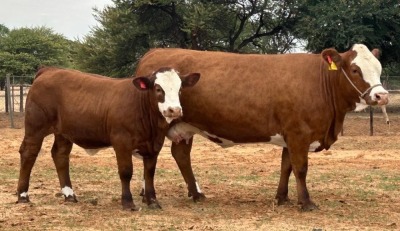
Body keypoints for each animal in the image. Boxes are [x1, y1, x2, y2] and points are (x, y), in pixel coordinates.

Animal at [15, 66, 200, 210]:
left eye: (180, 89)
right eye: (158, 89)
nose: (174, 110)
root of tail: (49, 70)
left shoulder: (154, 145)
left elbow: (150, 173)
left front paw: (152, 201)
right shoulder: (121, 142)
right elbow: (126, 172)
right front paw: (127, 202)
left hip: (63, 132)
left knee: (60, 155)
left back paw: (69, 195)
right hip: (35, 127)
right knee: (29, 153)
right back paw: (23, 195)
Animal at [134, 43, 388, 211]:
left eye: (379, 69)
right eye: (355, 70)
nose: (382, 96)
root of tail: (155, 51)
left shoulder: (290, 135)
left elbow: (286, 167)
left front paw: (282, 198)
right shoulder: (299, 134)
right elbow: (300, 168)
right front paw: (306, 202)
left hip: (185, 126)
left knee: (181, 155)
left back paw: (196, 194)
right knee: (153, 158)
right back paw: (150, 197)